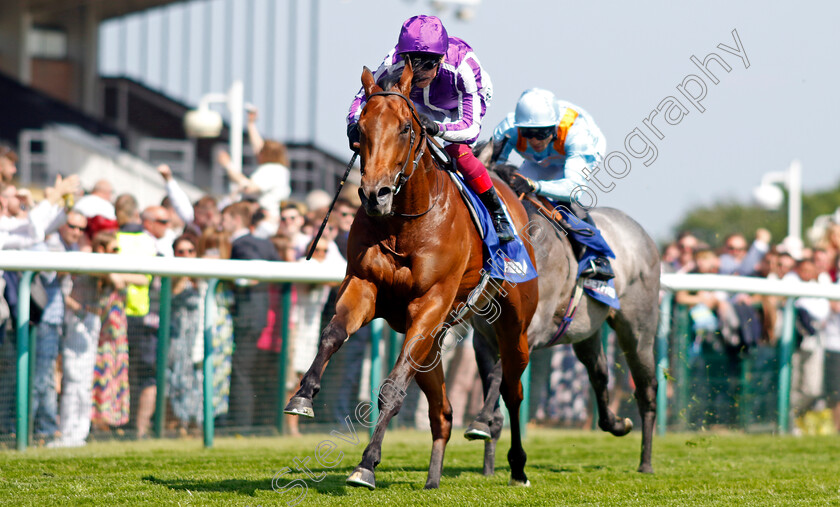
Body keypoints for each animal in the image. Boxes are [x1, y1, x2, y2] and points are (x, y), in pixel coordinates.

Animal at [284, 61, 540, 490]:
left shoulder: (430, 304)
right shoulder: (365, 285)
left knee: (512, 389)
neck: (405, 223)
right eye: (360, 129)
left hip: (511, 325)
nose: (375, 194)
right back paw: (433, 479)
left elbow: (392, 387)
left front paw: (366, 465)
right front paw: (302, 396)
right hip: (433, 345)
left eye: (406, 127)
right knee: (444, 412)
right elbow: (333, 334)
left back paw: (518, 466)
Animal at [466, 158, 664, 476]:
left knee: (647, 389)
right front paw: (488, 465)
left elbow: (499, 376)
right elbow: (494, 391)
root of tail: (641, 234)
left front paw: (480, 423)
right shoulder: (482, 340)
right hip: (587, 331)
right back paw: (617, 423)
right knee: (599, 373)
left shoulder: (530, 332)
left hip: (638, 330)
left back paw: (645, 462)